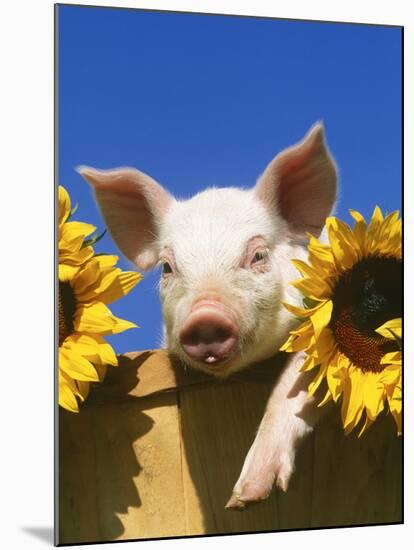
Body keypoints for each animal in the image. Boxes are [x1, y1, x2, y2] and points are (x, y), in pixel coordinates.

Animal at [79, 123, 338, 512]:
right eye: (167, 267)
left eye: (258, 255)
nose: (204, 317)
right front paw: (240, 502)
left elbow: (301, 373)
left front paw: (243, 498)